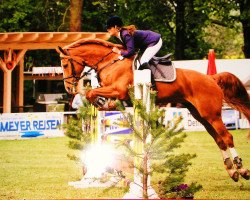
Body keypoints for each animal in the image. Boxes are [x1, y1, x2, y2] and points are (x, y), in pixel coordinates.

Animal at [57, 38, 250, 182]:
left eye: (65, 65)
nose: (68, 88)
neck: (109, 62)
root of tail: (211, 78)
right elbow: (97, 95)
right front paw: (105, 104)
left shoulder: (118, 90)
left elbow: (91, 93)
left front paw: (100, 101)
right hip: (201, 115)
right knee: (219, 140)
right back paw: (232, 171)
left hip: (212, 115)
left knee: (227, 137)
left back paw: (241, 169)